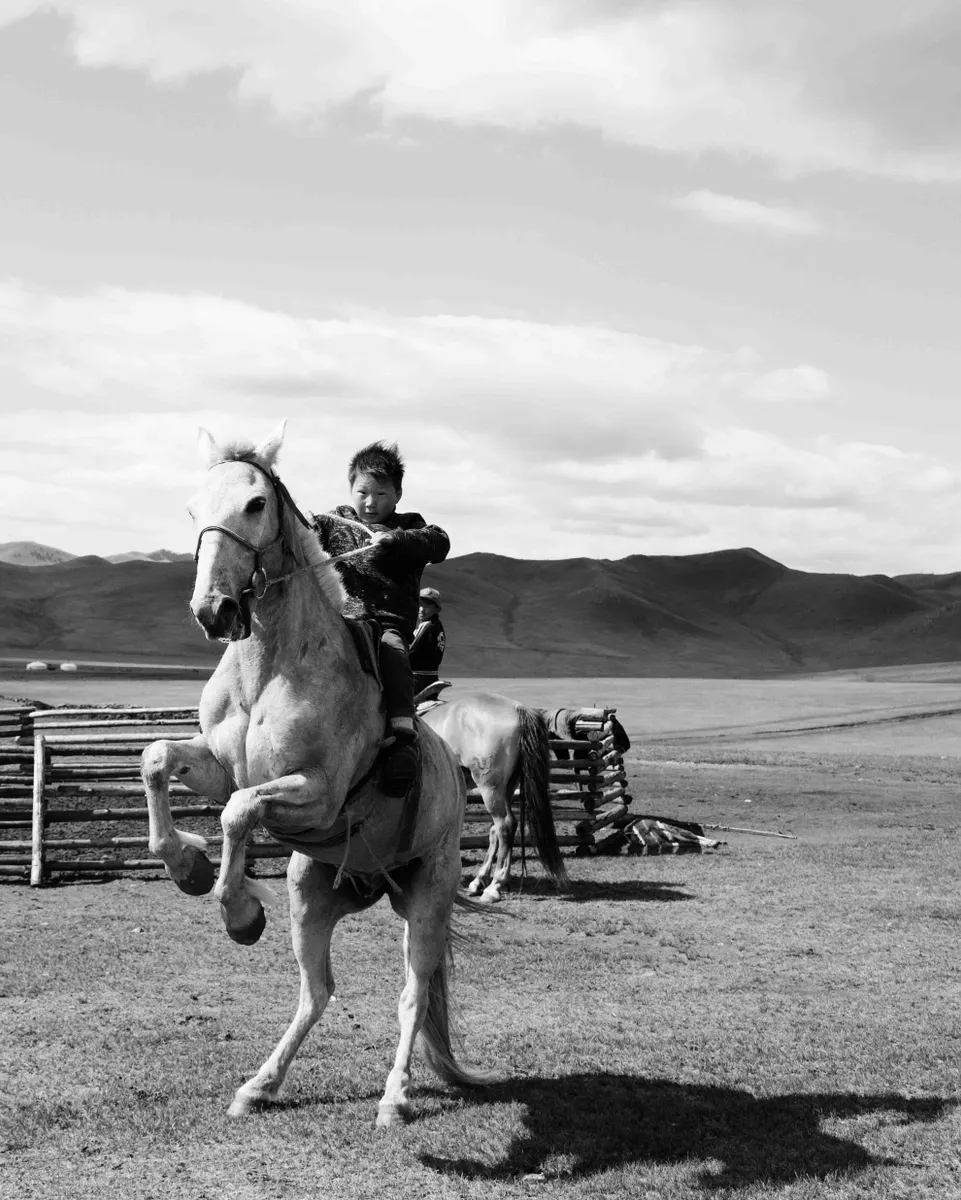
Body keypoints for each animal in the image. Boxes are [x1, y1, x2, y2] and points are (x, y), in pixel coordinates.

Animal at [140, 421, 483, 1126]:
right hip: (313, 893)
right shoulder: (217, 765)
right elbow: (158, 758)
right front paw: (187, 866)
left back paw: (393, 1098)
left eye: (255, 504)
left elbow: (238, 811)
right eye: (192, 509)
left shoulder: (317, 795)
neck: (272, 668)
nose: (213, 610)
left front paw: (240, 912)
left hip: (429, 895)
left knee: (413, 993)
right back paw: (259, 1085)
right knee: (317, 990)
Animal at [418, 691, 568, 903]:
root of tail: (518, 708)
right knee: (495, 830)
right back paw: (479, 881)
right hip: (506, 788)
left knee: (505, 825)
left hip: (489, 787)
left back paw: (494, 886)